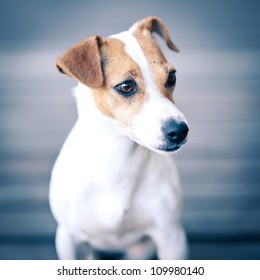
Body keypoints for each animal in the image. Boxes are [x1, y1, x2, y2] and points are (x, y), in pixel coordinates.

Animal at [49, 16, 189, 260]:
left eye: (172, 76)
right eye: (125, 86)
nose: (180, 130)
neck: (121, 158)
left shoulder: (172, 238)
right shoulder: (68, 238)